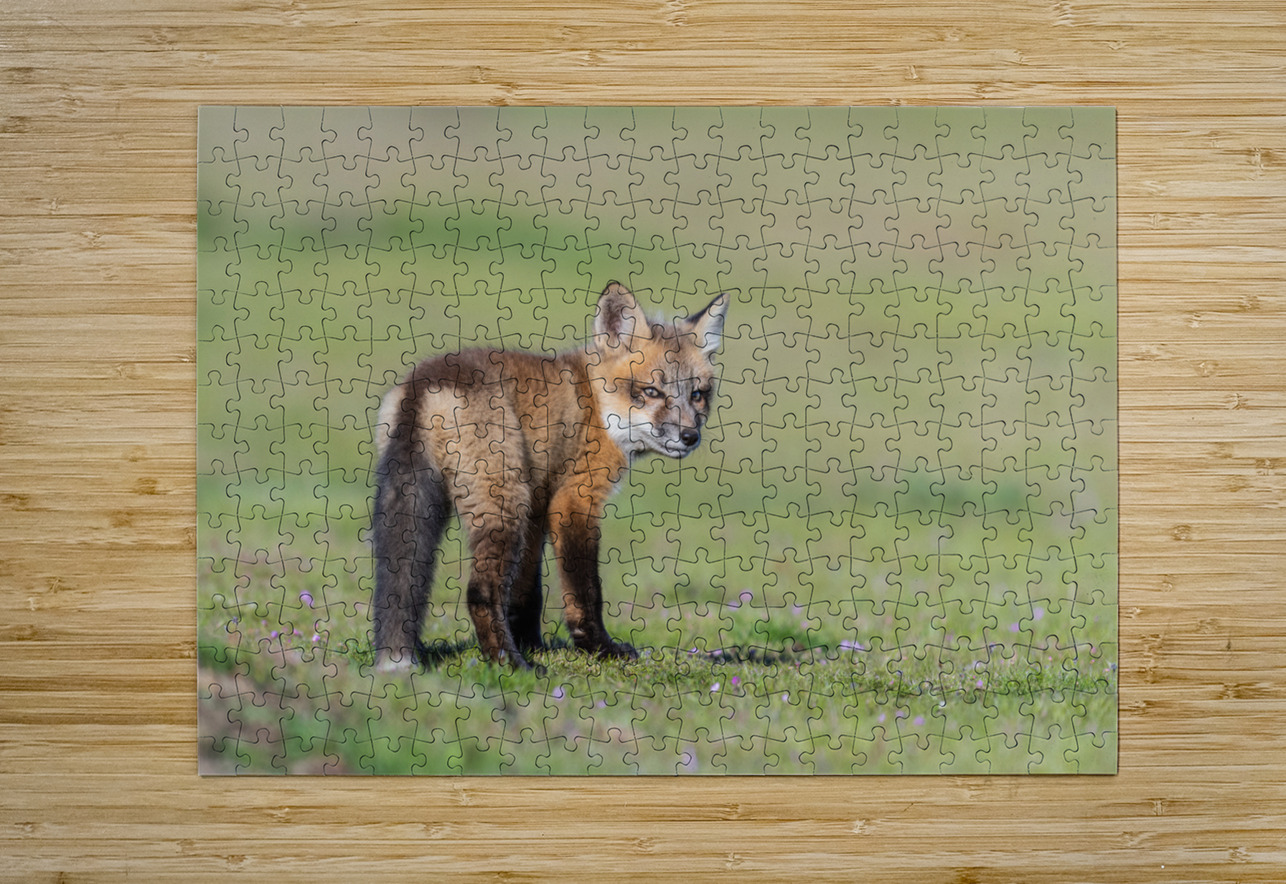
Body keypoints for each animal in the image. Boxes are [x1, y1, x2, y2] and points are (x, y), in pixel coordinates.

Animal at [371, 282, 729, 670]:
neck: (596, 407)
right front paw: (599, 648)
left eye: (697, 395)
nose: (690, 436)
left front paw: (533, 643)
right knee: (479, 591)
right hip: (503, 506)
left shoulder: (538, 505)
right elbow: (585, 591)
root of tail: (428, 381)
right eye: (651, 391)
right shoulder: (574, 501)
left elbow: (526, 593)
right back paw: (509, 662)